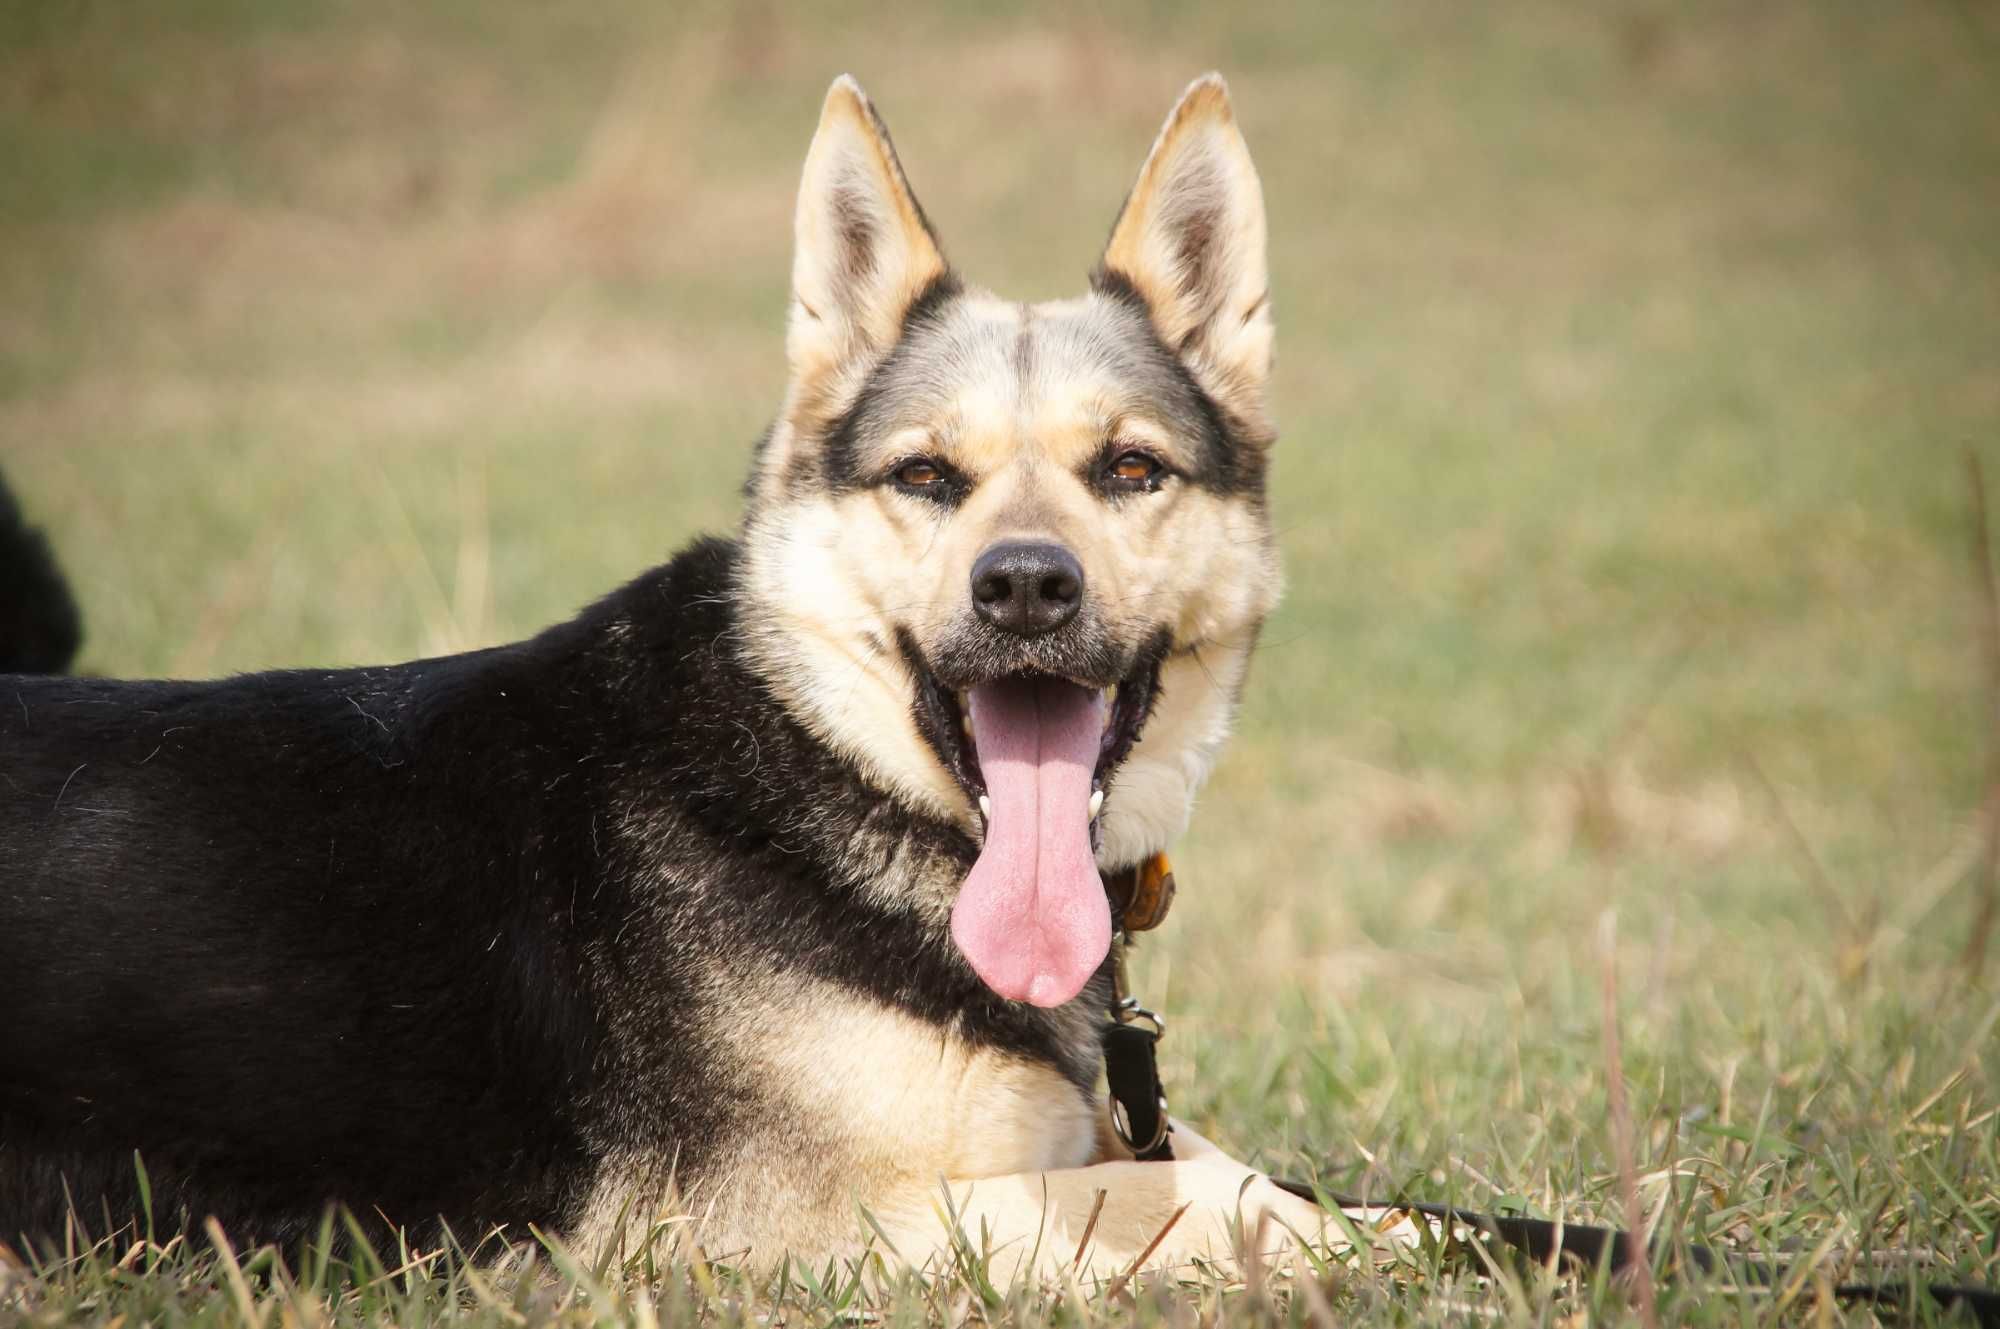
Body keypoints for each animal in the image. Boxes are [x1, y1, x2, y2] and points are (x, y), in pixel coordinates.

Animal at [0, 75, 1352, 1288]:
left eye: (1128, 469)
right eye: (923, 477)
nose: (1024, 586)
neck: (808, 757)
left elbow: (1225, 1173)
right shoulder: (799, 1224)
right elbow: (1203, 1197)